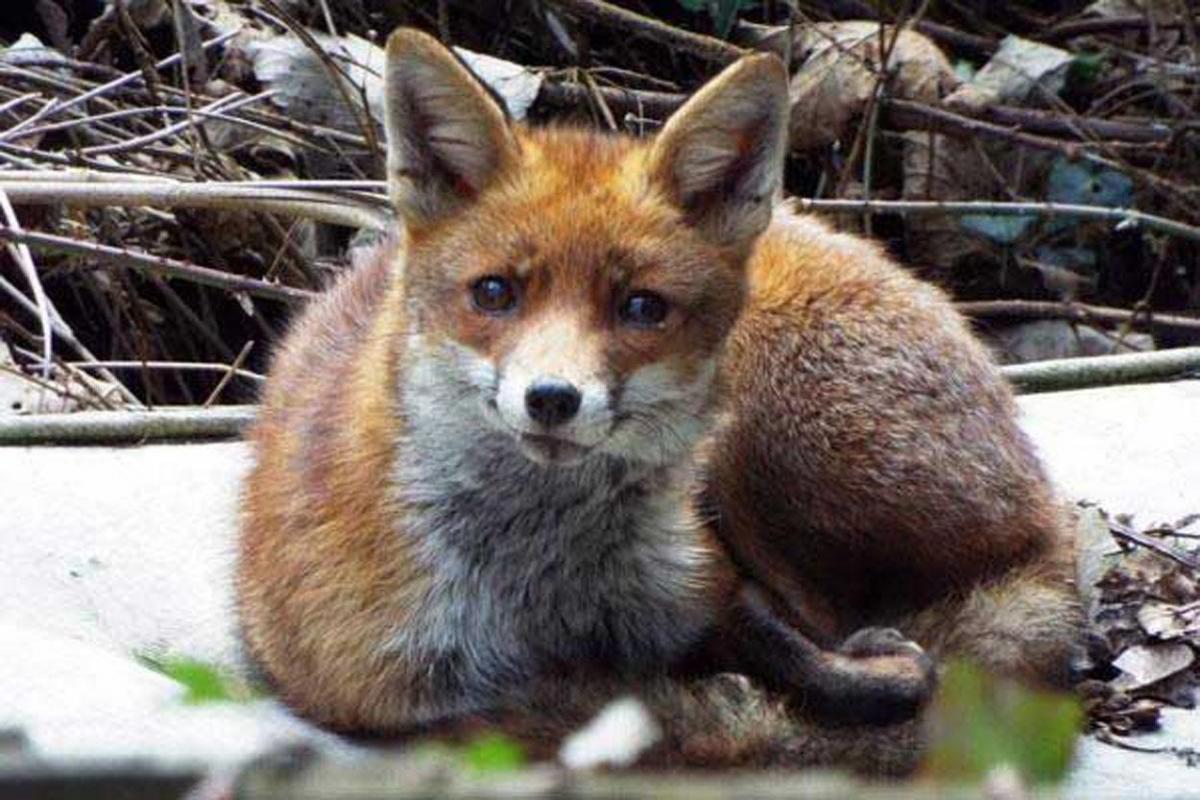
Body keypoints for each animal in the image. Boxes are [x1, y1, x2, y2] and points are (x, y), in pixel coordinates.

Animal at [238, 28, 1084, 772]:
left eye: (642, 308)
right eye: (495, 293)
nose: (552, 398)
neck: (552, 591)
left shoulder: (700, 576)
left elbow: (797, 652)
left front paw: (864, 678)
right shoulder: (376, 685)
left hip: (760, 443)